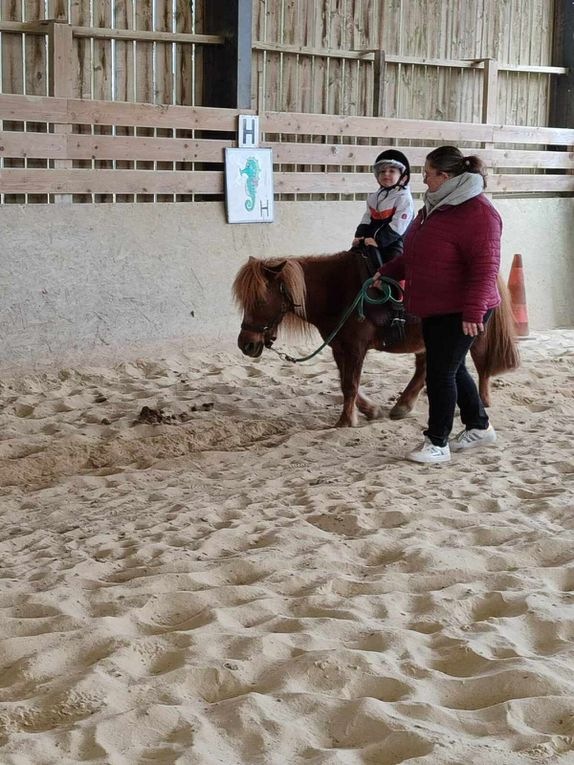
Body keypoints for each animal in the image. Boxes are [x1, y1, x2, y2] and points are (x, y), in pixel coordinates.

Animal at [234, 254, 520, 426]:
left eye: (259, 300)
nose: (245, 344)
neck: (338, 291)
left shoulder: (356, 348)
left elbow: (350, 384)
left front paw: (345, 421)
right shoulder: (339, 348)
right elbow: (346, 384)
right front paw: (369, 410)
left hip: (474, 334)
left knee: (481, 364)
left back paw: (483, 400)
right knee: (425, 367)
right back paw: (403, 405)